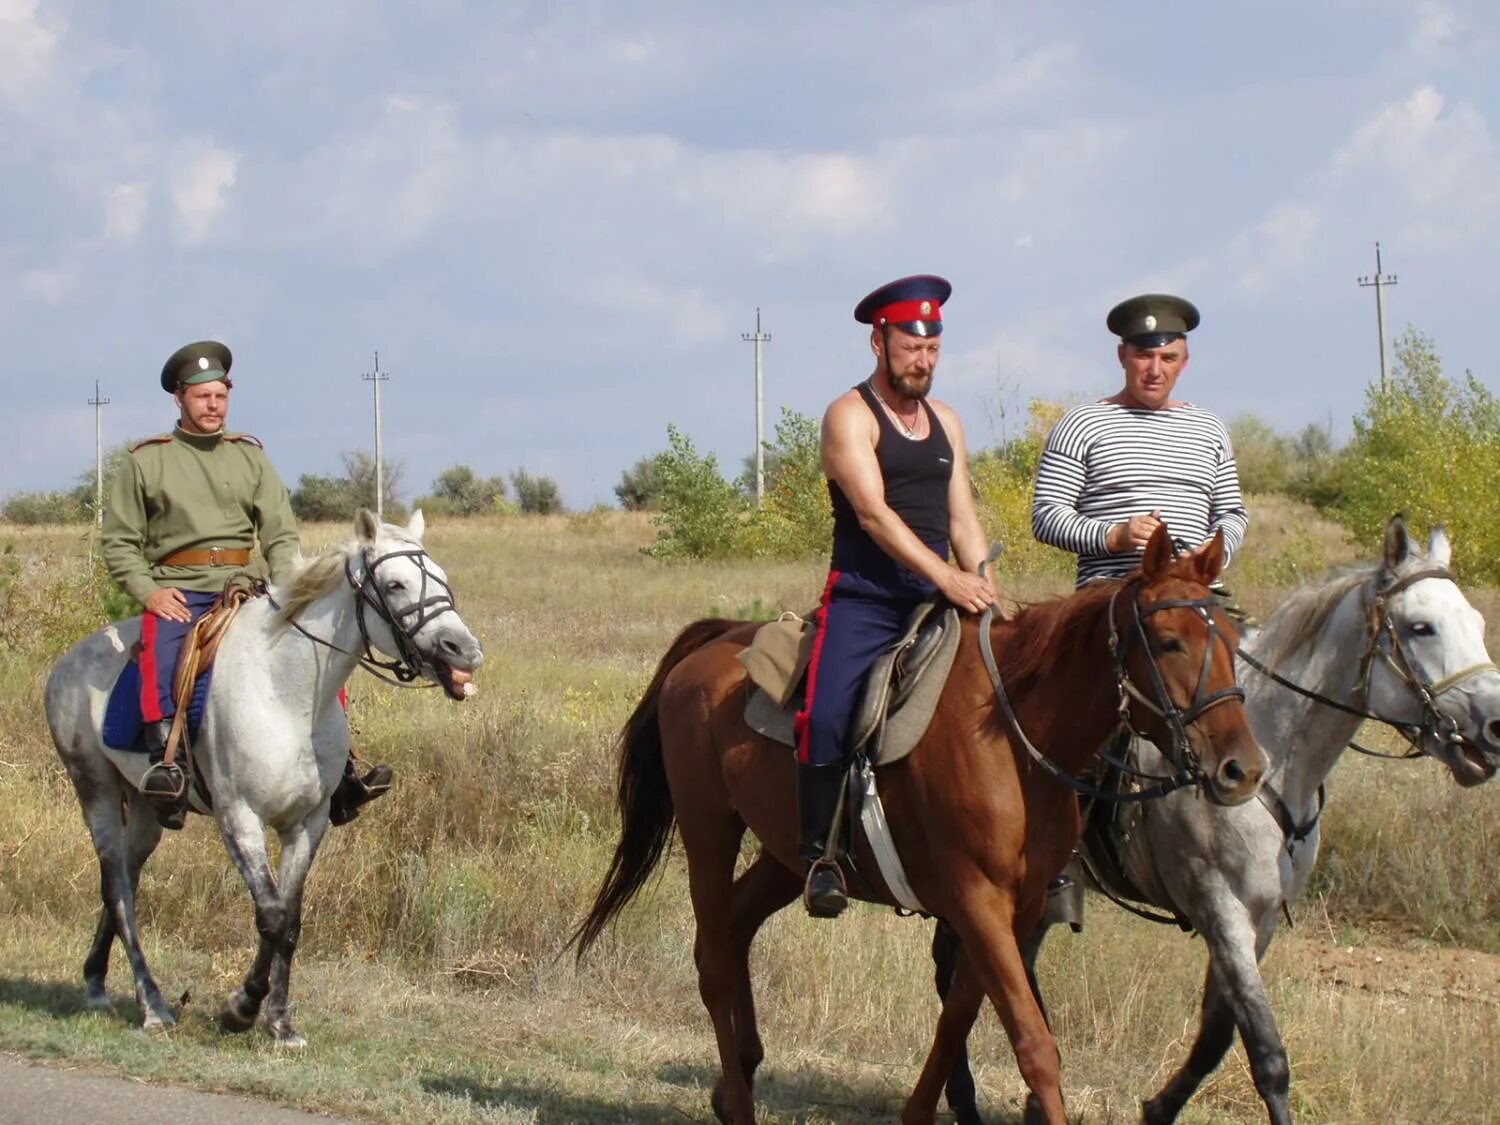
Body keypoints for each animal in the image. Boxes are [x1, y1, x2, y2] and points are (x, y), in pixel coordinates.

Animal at [45, 510, 480, 1050]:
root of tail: (67, 662)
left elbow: (289, 920)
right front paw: (242, 1008)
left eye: (441, 577)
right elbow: (270, 914)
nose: (464, 650)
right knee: (117, 891)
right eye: (395, 584)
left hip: (146, 807)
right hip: (96, 791)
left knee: (125, 877)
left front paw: (280, 1022)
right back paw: (153, 1006)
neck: (286, 692)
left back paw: (97, 981)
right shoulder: (240, 818)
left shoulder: (308, 824)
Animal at [573, 531, 1266, 1125]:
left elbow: (959, 1016)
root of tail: (713, 645)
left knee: (737, 929)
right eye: (1170, 641)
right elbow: (1032, 1041)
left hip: (787, 858)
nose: (1244, 769)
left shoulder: (1013, 909)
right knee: (715, 956)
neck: (1014, 733)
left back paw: (737, 1074)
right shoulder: (977, 900)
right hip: (708, 830)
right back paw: (739, 1104)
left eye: (1234, 637)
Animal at [936, 519, 1500, 1125]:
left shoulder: (1260, 919)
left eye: (1477, 623)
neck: (1274, 759)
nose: (1494, 726)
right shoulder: (1221, 909)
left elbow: (1216, 1036)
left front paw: (1158, 1108)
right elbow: (1268, 1053)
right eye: (1421, 627)